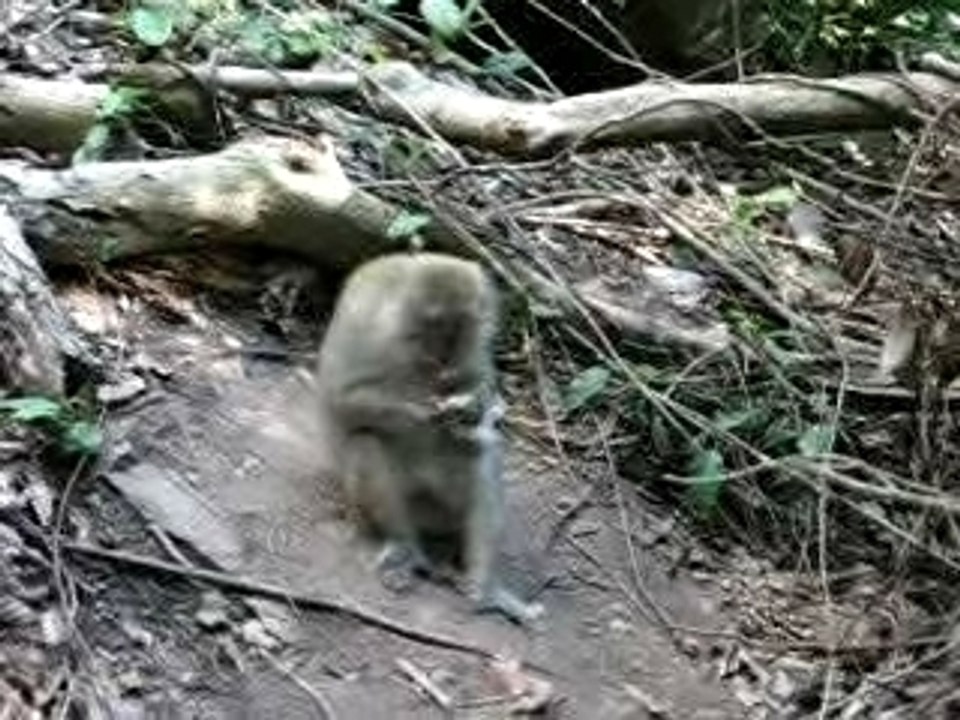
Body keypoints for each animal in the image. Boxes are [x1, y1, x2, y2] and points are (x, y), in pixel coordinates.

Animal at [316, 252, 543, 625]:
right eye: (432, 327)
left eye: (459, 329)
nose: (442, 358)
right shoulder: (369, 326)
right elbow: (342, 398)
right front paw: (428, 411)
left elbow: (481, 391)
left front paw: (472, 409)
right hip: (404, 505)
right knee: (366, 443)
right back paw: (406, 547)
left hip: (443, 512)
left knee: (478, 456)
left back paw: (484, 590)